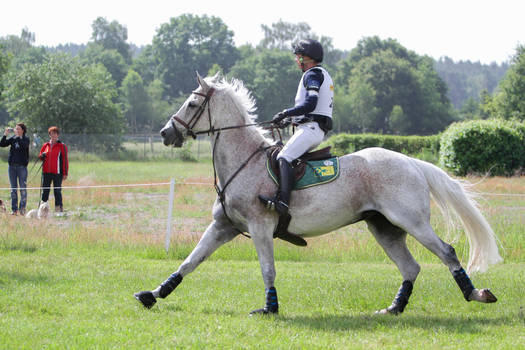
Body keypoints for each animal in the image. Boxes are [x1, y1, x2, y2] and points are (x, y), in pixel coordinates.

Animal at [134, 73, 500, 314]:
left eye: (192, 102)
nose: (165, 133)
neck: (242, 160)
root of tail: (410, 161)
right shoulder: (224, 226)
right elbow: (190, 261)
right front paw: (153, 294)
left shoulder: (259, 226)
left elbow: (267, 269)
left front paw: (269, 308)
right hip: (383, 226)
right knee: (410, 268)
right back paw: (394, 309)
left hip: (411, 221)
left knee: (447, 252)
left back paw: (476, 294)